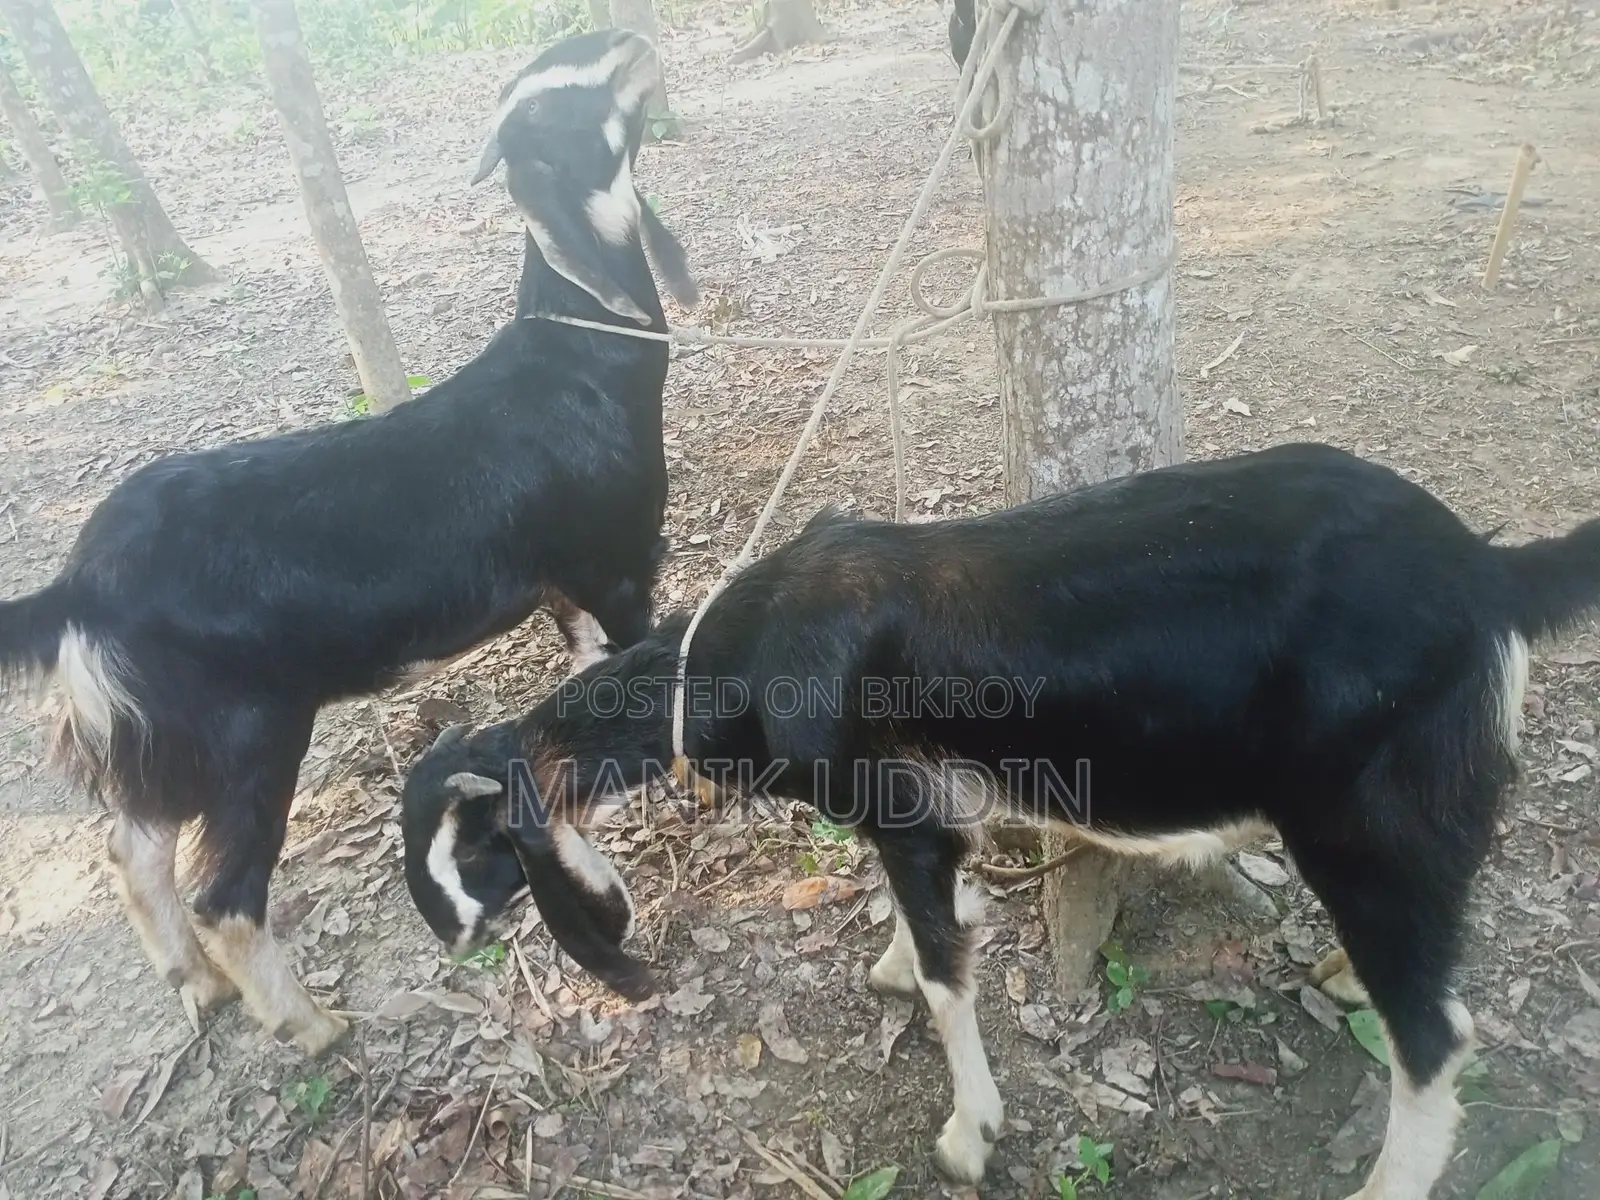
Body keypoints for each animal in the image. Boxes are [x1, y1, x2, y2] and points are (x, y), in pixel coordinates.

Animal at [0, 28, 697, 1057]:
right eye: (549, 105)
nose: (627, 38)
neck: (575, 369)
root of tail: (78, 588)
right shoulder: (615, 566)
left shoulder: (559, 583)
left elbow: (582, 667)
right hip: (251, 734)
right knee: (222, 893)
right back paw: (312, 1026)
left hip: (167, 734)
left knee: (133, 845)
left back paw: (195, 983)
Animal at [399, 442, 1600, 1196]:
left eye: (466, 854)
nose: (452, 943)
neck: (731, 665)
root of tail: (1489, 572)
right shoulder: (917, 815)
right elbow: (913, 920)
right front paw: (889, 961)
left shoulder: (907, 816)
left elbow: (946, 972)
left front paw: (968, 1133)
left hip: (1364, 815)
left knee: (1438, 1034)